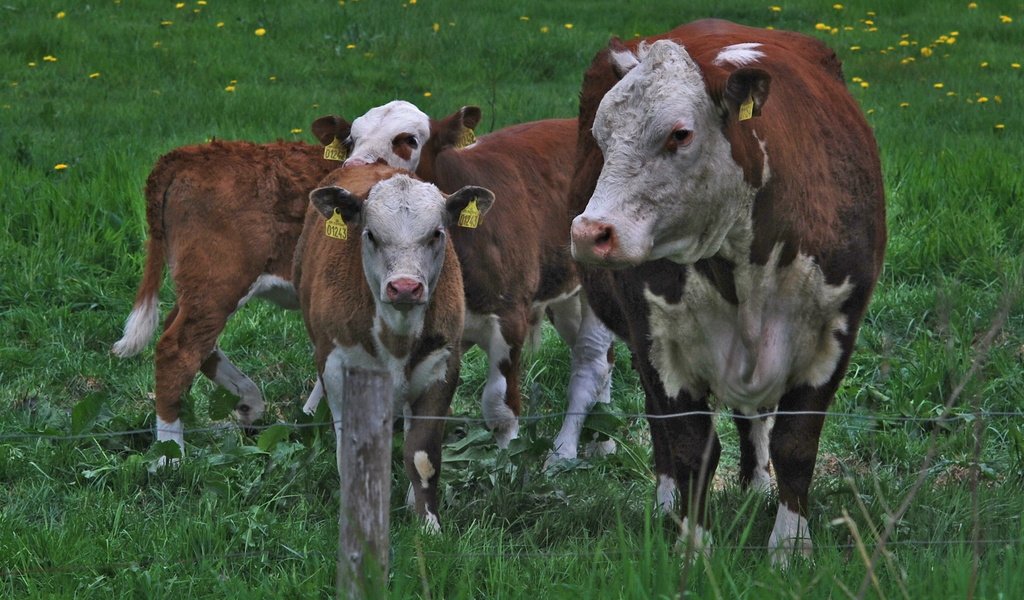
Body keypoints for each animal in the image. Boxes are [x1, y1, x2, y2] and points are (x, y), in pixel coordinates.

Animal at [292, 159, 495, 528]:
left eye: (436, 233)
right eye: (371, 234)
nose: (404, 287)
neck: (396, 335)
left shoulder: (442, 368)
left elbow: (422, 455)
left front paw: (427, 521)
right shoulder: (337, 367)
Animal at [311, 102, 614, 460]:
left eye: (408, 140)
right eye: (350, 139)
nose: (354, 168)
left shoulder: (510, 317)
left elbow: (499, 407)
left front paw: (508, 460)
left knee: (591, 362)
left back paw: (564, 452)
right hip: (566, 294)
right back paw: (604, 440)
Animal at [569, 16, 888, 561]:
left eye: (680, 134)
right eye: (600, 135)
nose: (591, 233)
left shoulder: (833, 333)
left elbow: (795, 444)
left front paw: (790, 544)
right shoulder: (657, 340)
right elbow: (690, 446)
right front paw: (694, 545)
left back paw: (757, 485)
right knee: (661, 424)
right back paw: (665, 501)